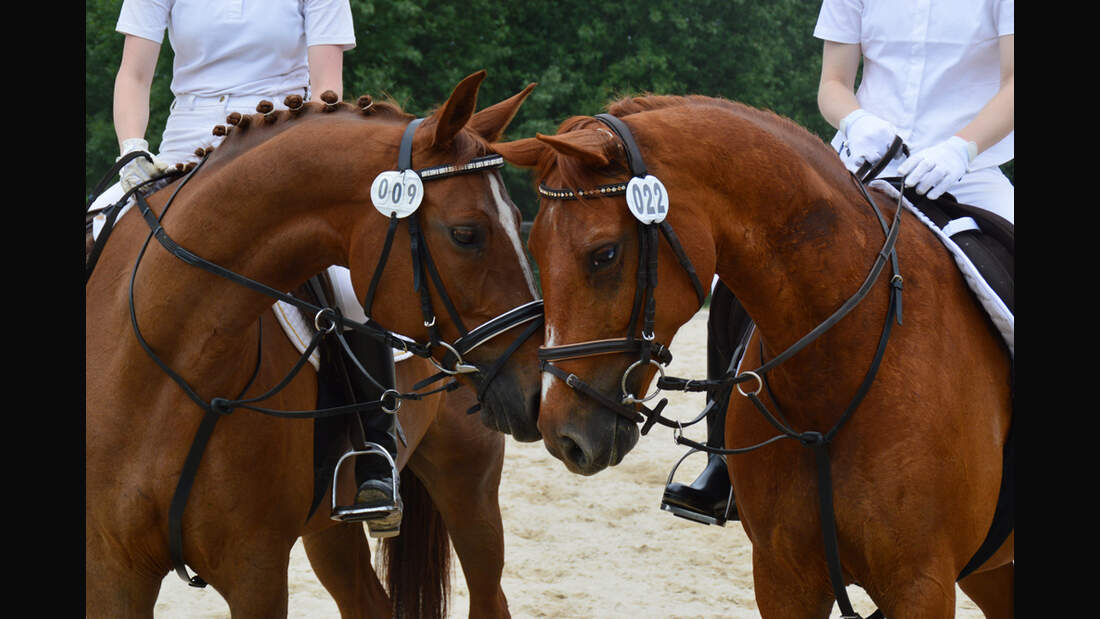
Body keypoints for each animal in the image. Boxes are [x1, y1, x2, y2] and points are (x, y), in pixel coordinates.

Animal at [85, 70, 545, 615]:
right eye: (466, 234)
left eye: (518, 219)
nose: (536, 393)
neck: (165, 360)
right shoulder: (113, 569)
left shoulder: (254, 569)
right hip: (329, 530)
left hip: (468, 481)